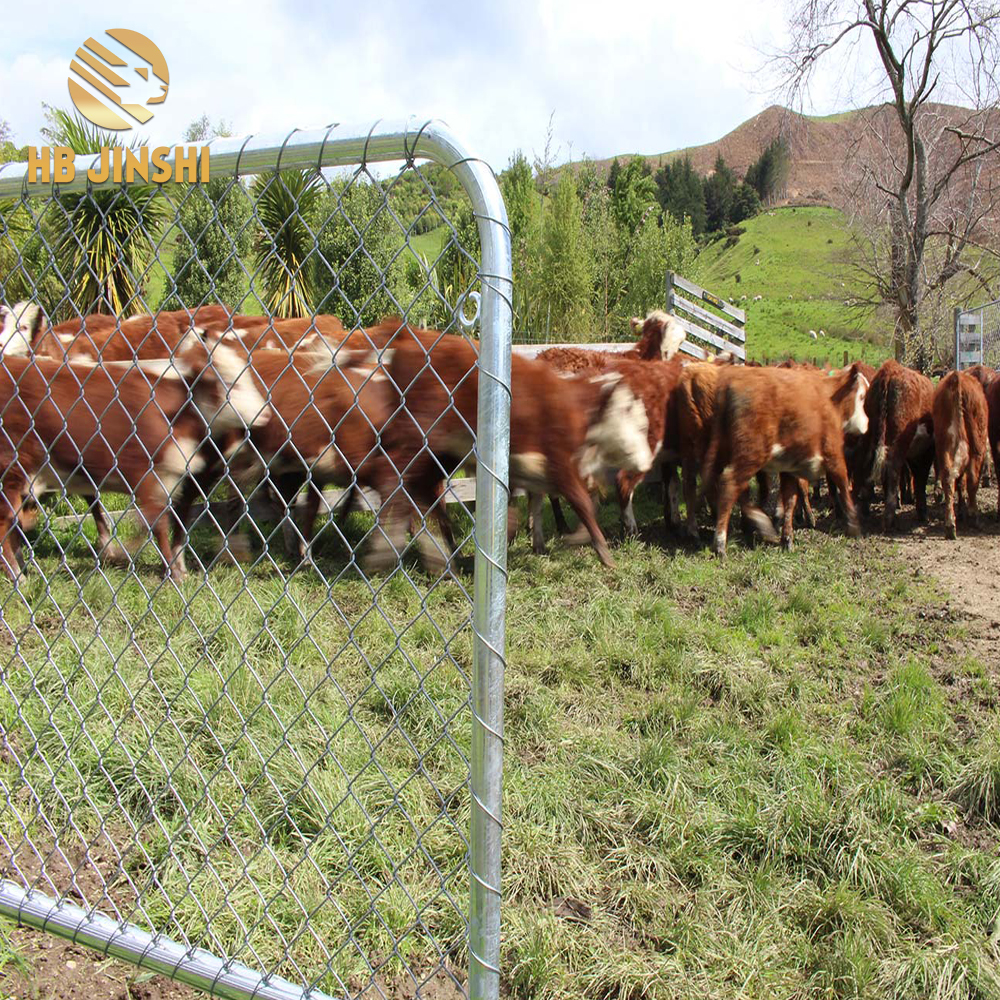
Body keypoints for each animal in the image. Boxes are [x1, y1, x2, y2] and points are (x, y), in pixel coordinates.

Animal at [932, 370, 988, 540]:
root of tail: (956, 378)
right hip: (977, 446)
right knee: (972, 479)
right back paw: (973, 517)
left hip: (943, 445)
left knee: (948, 478)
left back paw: (950, 525)